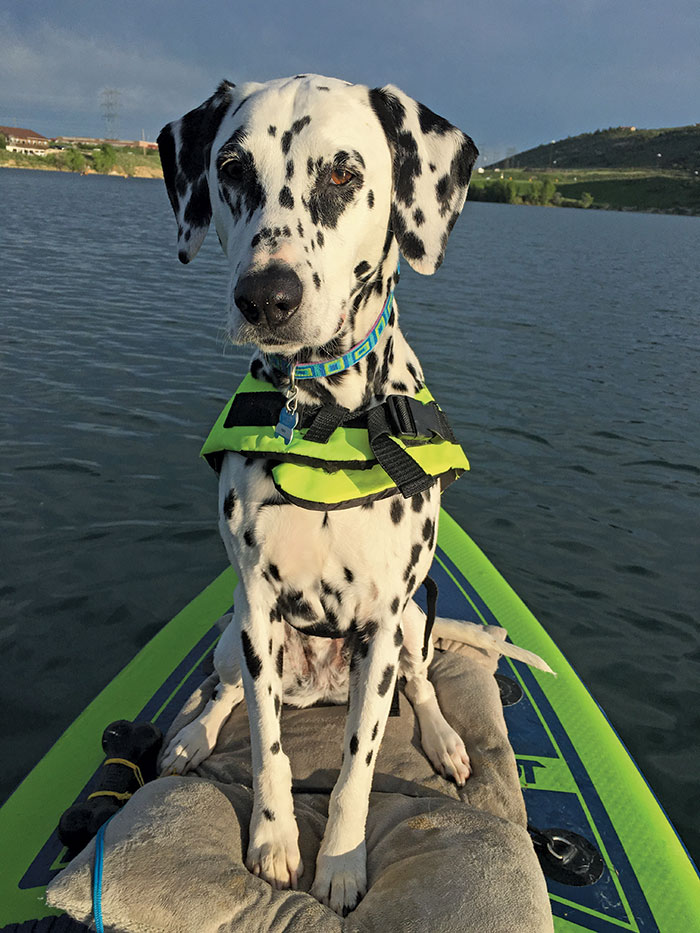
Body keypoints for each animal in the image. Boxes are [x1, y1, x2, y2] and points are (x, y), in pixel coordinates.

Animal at [157, 74, 478, 916]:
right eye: (231, 168)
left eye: (341, 172)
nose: (265, 296)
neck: (325, 416)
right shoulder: (257, 610)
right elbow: (266, 748)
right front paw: (274, 843)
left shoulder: (385, 619)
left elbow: (358, 770)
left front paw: (340, 861)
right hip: (231, 633)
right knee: (221, 690)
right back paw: (191, 734)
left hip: (413, 624)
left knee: (423, 684)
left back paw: (445, 739)